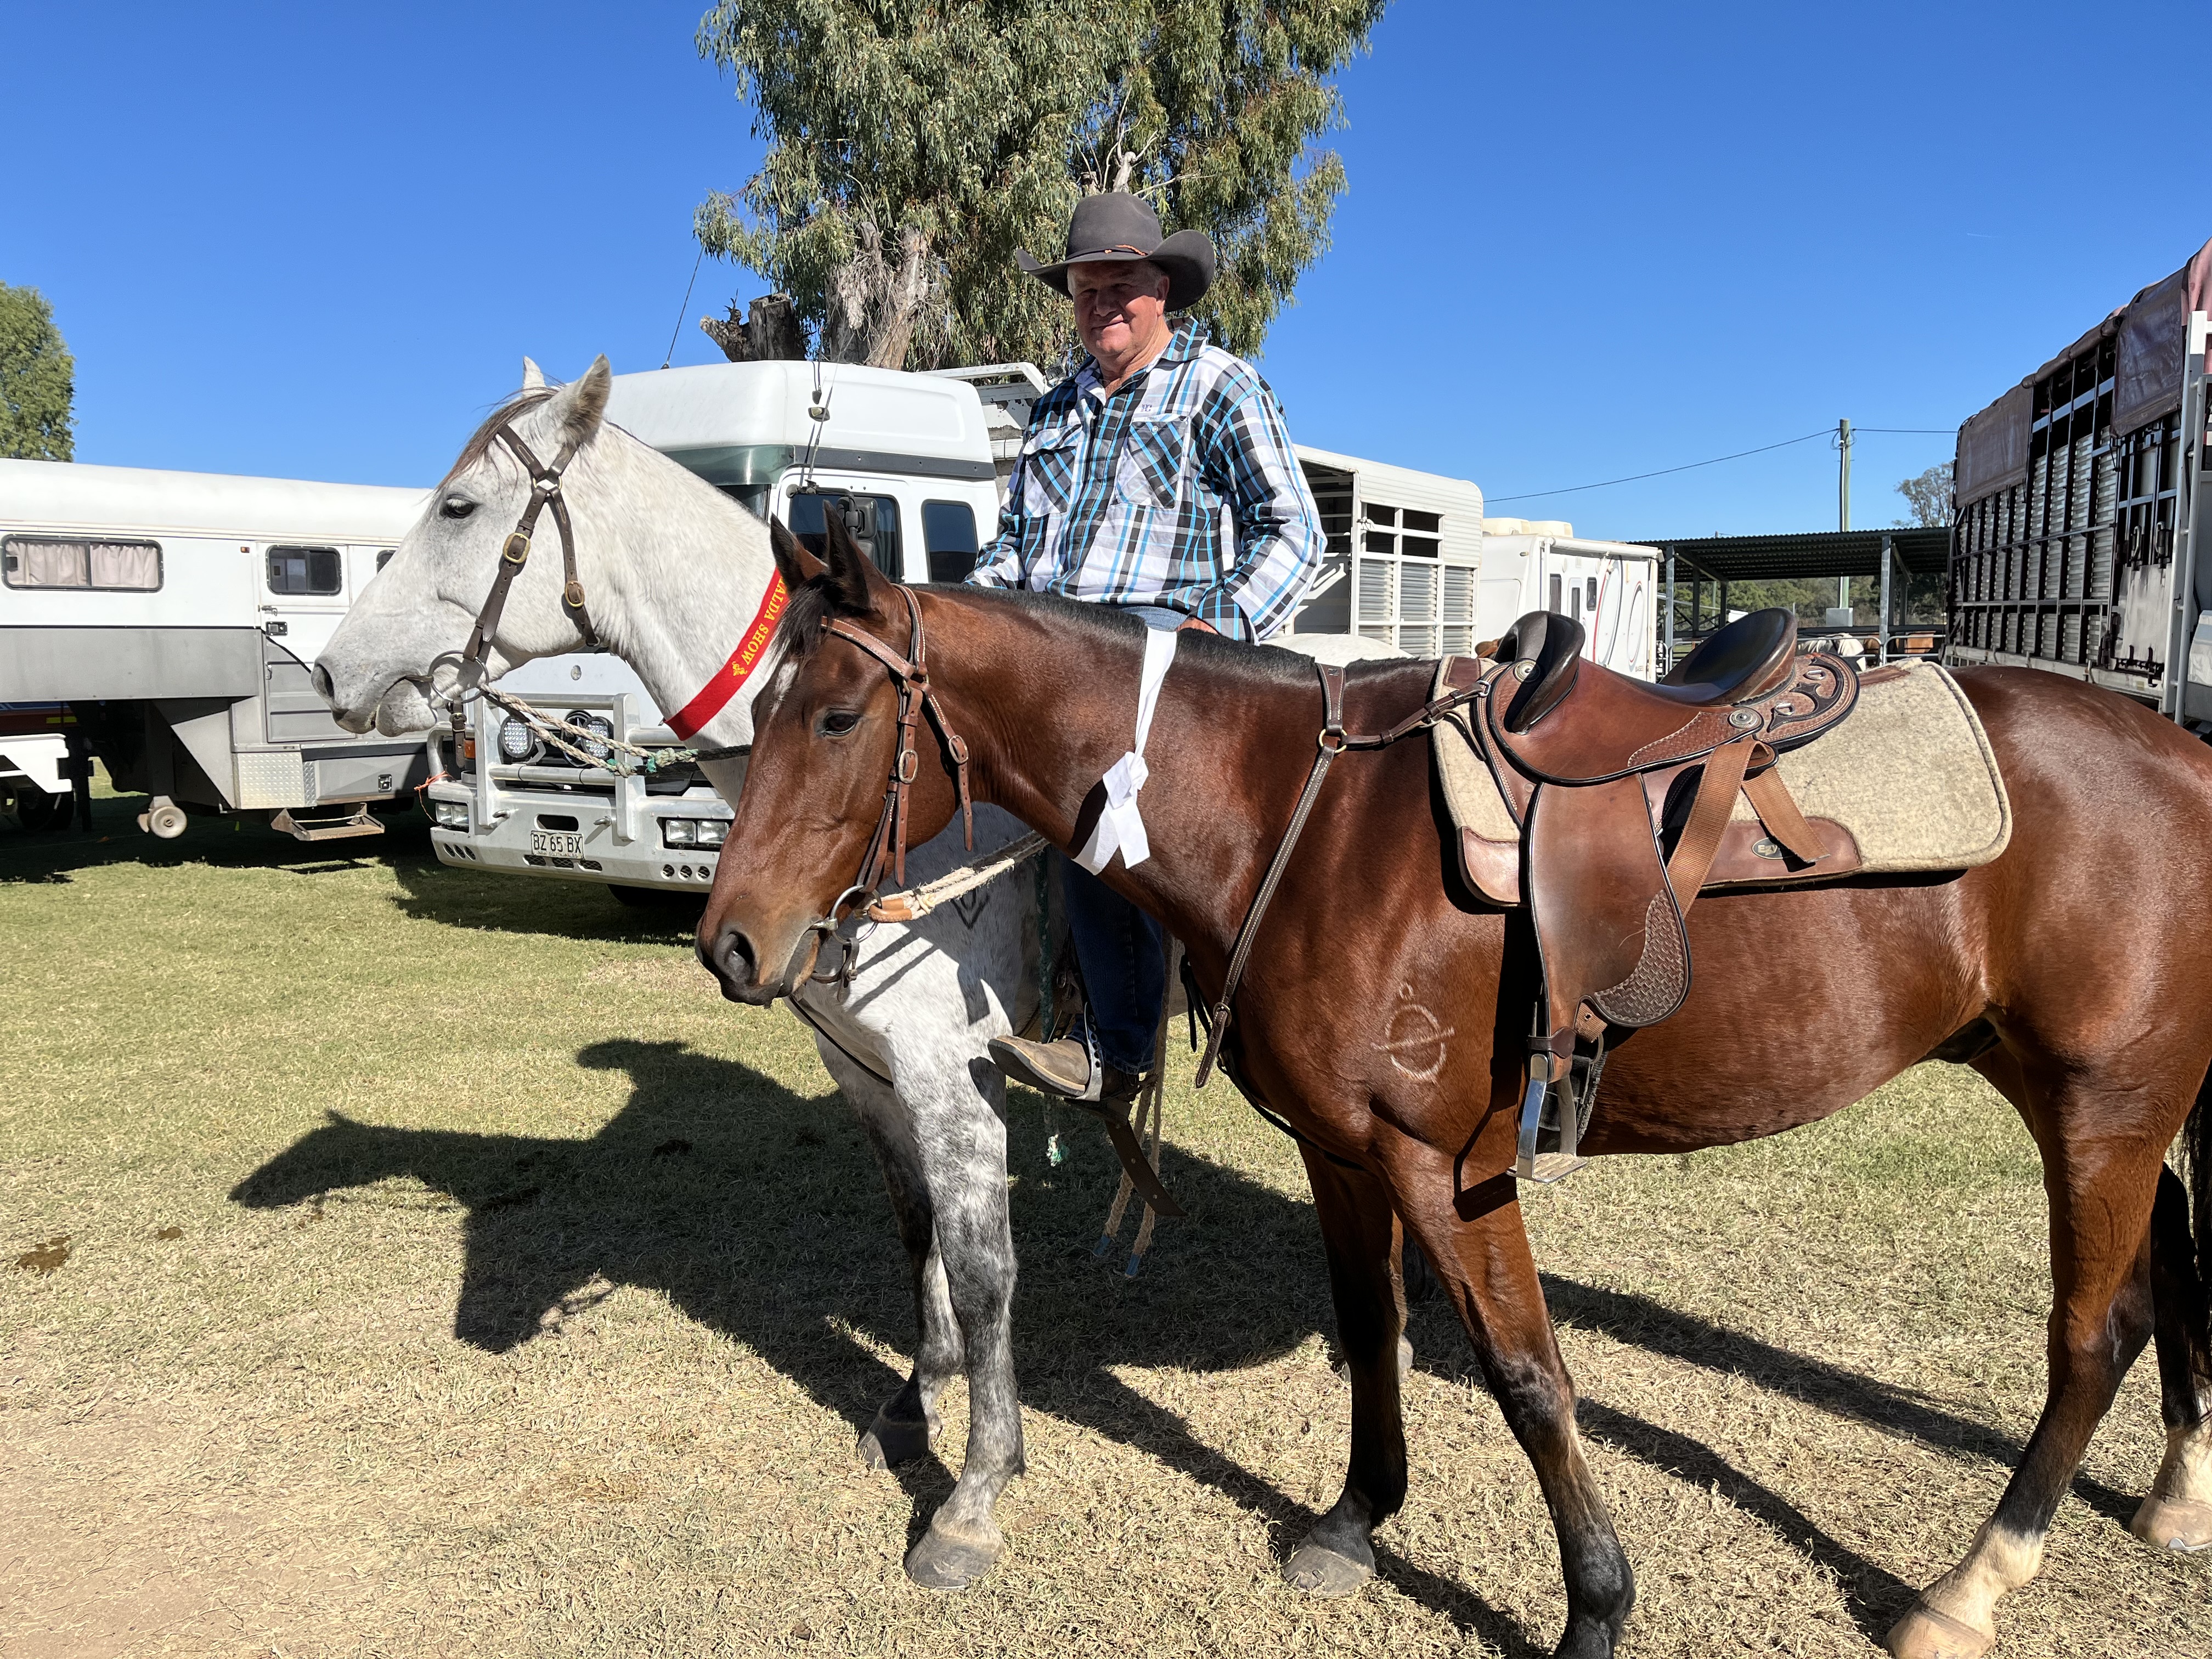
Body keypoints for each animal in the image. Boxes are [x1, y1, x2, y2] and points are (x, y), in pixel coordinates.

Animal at [311, 354, 1391, 1591]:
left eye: (457, 507)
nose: (330, 669)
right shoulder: (863, 1070)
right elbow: (916, 1230)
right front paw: (915, 1401)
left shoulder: (951, 1077)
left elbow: (983, 1267)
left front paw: (975, 1492)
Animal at [695, 512, 2212, 1659]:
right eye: (756, 709)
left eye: (837, 715)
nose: (730, 943)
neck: (1290, 817)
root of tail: (2183, 750)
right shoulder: (1342, 1149)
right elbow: (1373, 1328)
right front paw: (1356, 1520)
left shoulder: (1446, 1163)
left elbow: (1528, 1375)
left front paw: (1596, 1611)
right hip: (2088, 1094)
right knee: (2159, 1291)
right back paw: (2170, 1493)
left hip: (2104, 1105)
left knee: (2091, 1339)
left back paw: (1968, 1589)